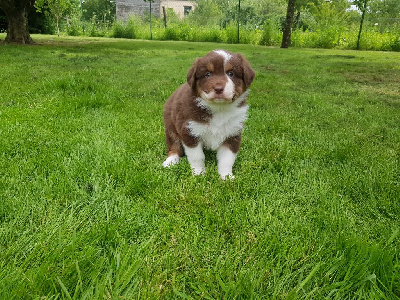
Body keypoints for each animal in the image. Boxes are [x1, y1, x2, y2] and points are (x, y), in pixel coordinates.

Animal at [163, 49, 255, 179]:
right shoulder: (190, 131)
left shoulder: (233, 134)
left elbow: (227, 159)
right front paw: (199, 174)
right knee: (173, 146)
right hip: (171, 127)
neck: (219, 109)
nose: (218, 88)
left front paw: (226, 177)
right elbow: (197, 157)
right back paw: (170, 161)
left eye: (231, 73)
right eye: (207, 74)